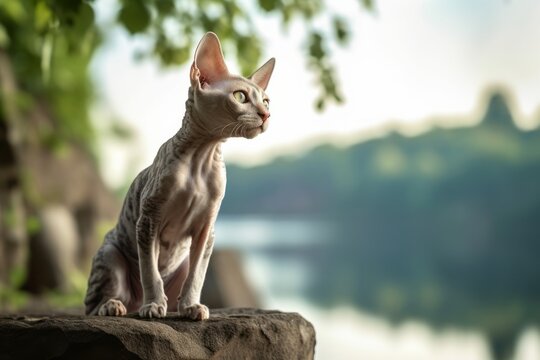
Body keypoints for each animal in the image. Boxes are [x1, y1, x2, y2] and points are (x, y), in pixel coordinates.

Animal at [87, 32, 278, 320]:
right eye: (240, 96)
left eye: (266, 101)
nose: (266, 115)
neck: (200, 159)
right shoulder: (148, 220)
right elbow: (150, 272)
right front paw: (154, 305)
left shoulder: (206, 229)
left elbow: (197, 275)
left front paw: (191, 306)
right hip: (110, 253)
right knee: (93, 304)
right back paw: (114, 305)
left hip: (182, 258)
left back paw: (173, 306)